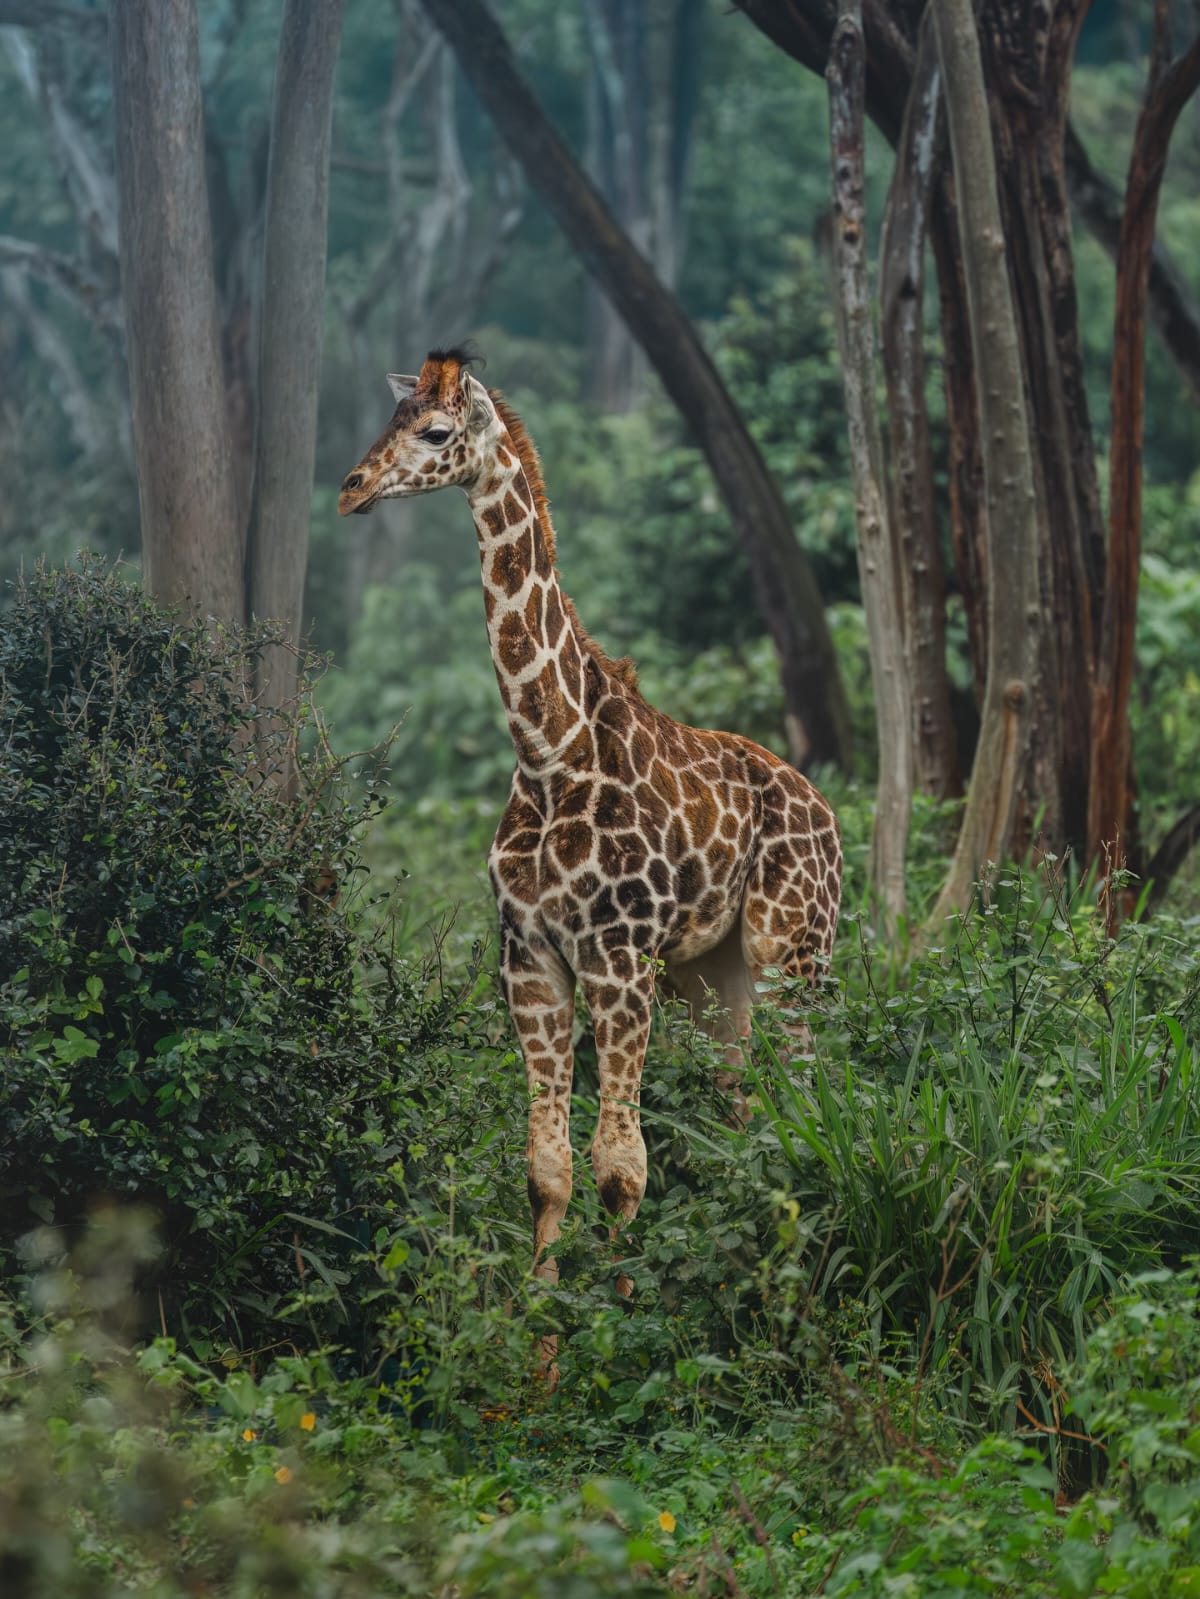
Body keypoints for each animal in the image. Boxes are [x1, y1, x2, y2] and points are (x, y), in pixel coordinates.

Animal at [339, 348, 842, 1298]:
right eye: (389, 420)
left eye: (436, 431)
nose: (352, 489)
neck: (550, 751)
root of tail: (829, 810)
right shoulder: (531, 957)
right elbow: (550, 1166)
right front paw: (537, 1311)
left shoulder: (619, 956)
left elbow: (621, 1165)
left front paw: (618, 1303)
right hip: (713, 973)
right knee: (741, 1099)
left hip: (793, 948)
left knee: (807, 1082)